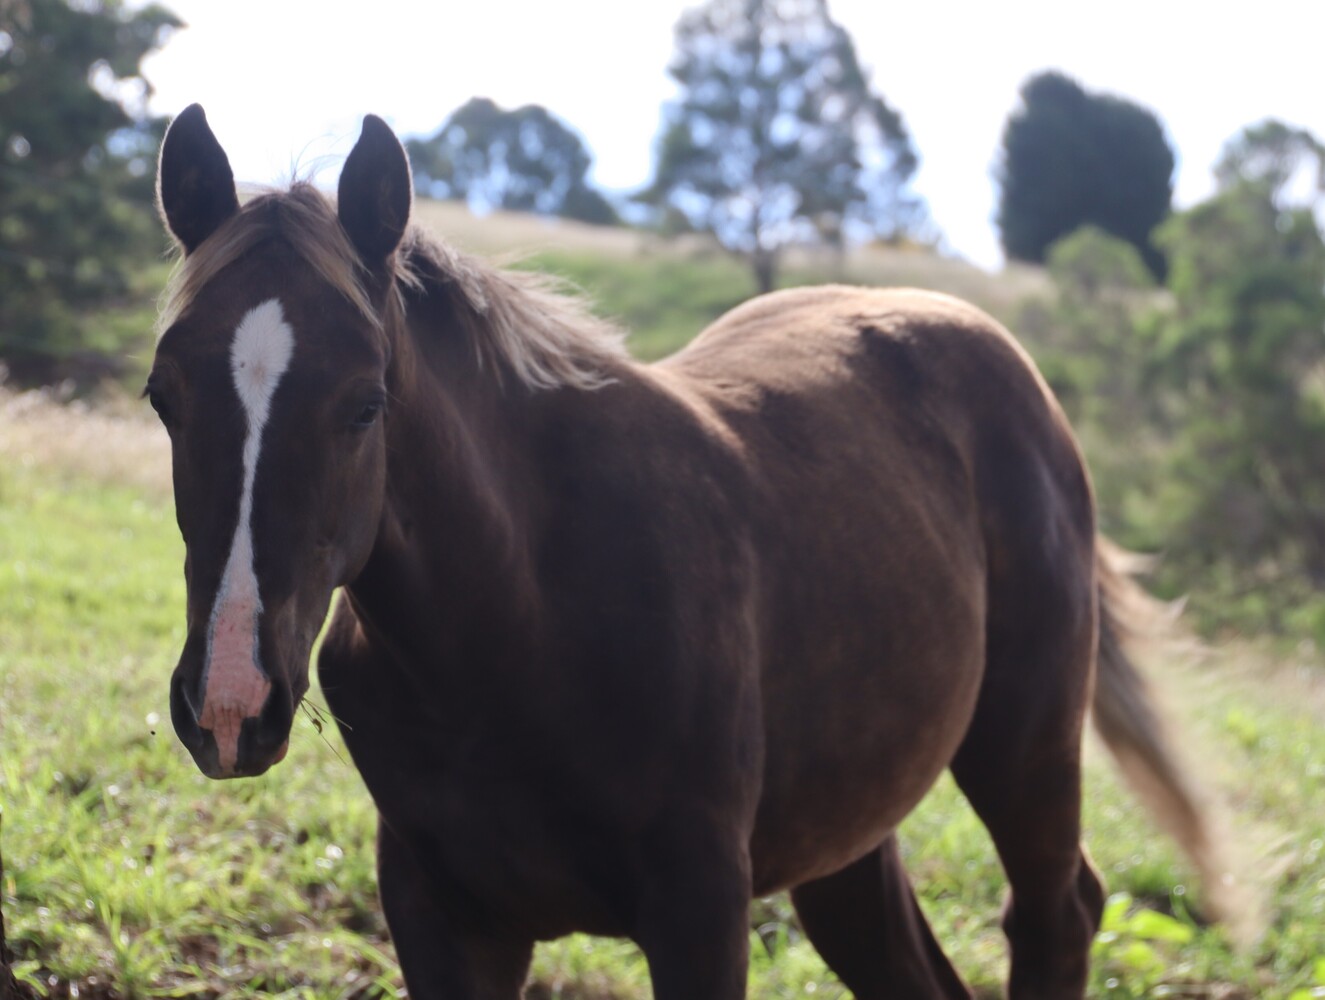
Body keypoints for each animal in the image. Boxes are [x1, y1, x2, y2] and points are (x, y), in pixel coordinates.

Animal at [150, 105, 1223, 999]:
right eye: (163, 395)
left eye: (365, 404)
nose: (232, 702)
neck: (523, 622)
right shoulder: (442, 915)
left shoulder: (700, 912)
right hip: (846, 841)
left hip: (1024, 749)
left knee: (1057, 915)